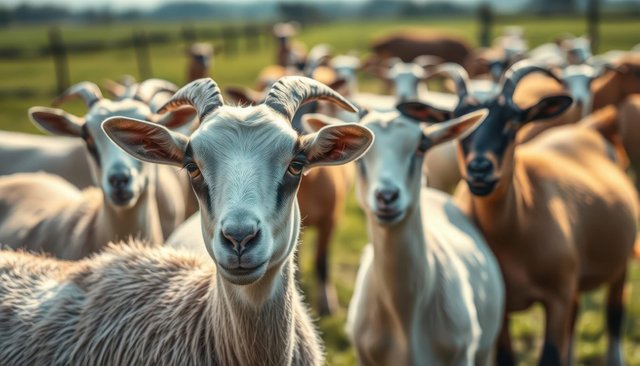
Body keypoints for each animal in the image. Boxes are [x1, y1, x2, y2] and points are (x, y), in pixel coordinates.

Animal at [398, 60, 636, 366]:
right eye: (461, 124)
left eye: (513, 122)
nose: (480, 169)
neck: (514, 230)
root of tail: (592, 128)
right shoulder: (501, 306)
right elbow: (506, 358)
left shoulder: (557, 298)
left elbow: (550, 356)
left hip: (619, 262)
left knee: (615, 313)